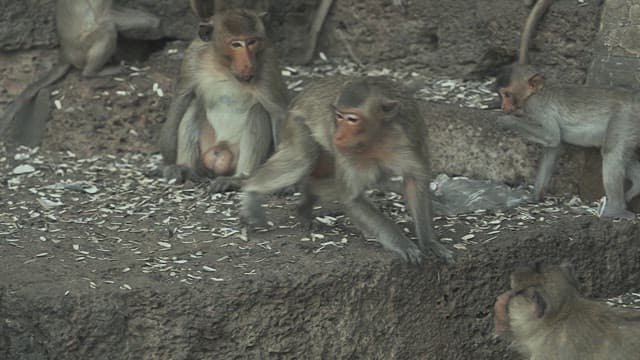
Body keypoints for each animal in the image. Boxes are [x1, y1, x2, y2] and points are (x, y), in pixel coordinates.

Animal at [0, 0, 160, 147]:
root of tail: (65, 52)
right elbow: (103, 16)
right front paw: (149, 22)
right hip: (82, 48)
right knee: (107, 28)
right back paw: (95, 71)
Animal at [159, 3, 288, 191]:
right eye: (236, 44)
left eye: (252, 42)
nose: (248, 64)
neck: (224, 67)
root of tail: (220, 152)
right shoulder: (192, 56)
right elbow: (182, 99)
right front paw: (169, 164)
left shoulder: (267, 63)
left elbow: (278, 113)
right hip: (207, 148)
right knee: (194, 104)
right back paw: (186, 169)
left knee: (258, 111)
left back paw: (239, 178)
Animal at [240, 75, 456, 264]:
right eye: (339, 116)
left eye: (352, 119)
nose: (338, 135)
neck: (378, 136)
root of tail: (302, 94)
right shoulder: (347, 152)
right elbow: (352, 198)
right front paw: (402, 243)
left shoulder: (411, 141)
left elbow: (415, 182)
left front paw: (429, 243)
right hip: (298, 122)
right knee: (301, 160)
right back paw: (251, 190)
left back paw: (304, 207)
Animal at [498, 66, 640, 219]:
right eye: (503, 95)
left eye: (507, 95)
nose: (502, 107)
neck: (537, 92)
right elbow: (553, 146)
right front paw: (534, 196)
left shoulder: (537, 108)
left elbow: (551, 136)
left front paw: (505, 121)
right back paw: (636, 186)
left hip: (625, 118)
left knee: (611, 153)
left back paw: (614, 209)